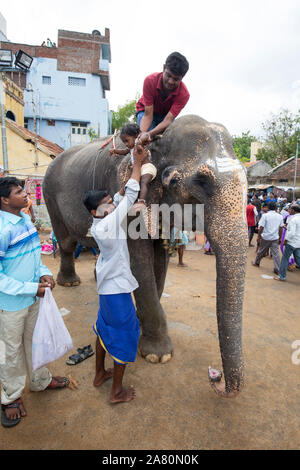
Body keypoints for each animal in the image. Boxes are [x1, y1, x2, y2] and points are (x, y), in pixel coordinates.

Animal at [42, 114, 248, 396]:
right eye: (177, 182)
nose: (216, 380)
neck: (156, 142)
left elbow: (159, 262)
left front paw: (141, 323)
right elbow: (139, 264)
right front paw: (158, 355)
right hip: (50, 196)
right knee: (65, 242)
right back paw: (70, 282)